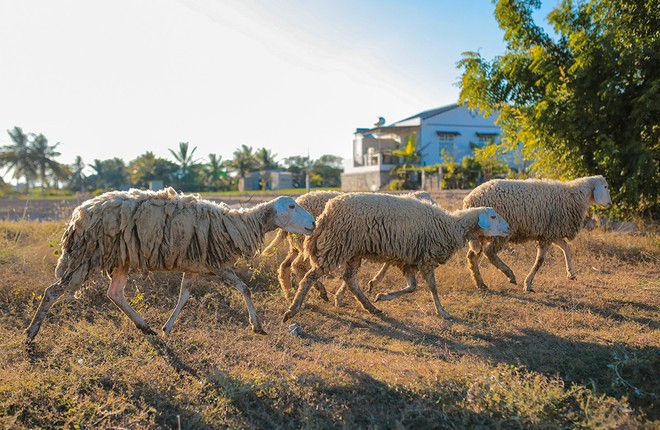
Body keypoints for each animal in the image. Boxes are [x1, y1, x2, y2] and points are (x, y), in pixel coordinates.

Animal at [23, 186, 318, 340]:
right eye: (292, 206)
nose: (313, 223)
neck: (238, 224)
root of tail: (77, 215)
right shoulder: (217, 264)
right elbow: (244, 288)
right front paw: (256, 324)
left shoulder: (195, 264)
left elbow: (185, 295)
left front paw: (167, 327)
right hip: (86, 255)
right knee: (53, 291)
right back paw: (31, 332)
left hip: (119, 259)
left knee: (115, 293)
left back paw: (145, 326)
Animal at [280, 192, 510, 322]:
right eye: (493, 216)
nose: (508, 228)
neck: (451, 225)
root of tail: (325, 213)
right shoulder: (426, 258)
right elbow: (432, 287)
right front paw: (442, 311)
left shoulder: (410, 260)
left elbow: (412, 287)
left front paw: (382, 296)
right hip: (336, 246)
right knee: (310, 277)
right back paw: (293, 309)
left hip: (352, 250)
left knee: (350, 280)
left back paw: (372, 308)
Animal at [462, 175, 612, 292]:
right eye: (605, 187)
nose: (610, 203)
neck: (576, 195)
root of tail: (469, 200)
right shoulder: (549, 234)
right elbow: (540, 260)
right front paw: (528, 284)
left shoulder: (552, 232)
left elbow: (565, 247)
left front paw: (571, 273)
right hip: (500, 232)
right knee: (489, 253)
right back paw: (510, 275)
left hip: (481, 234)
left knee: (472, 256)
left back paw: (480, 284)